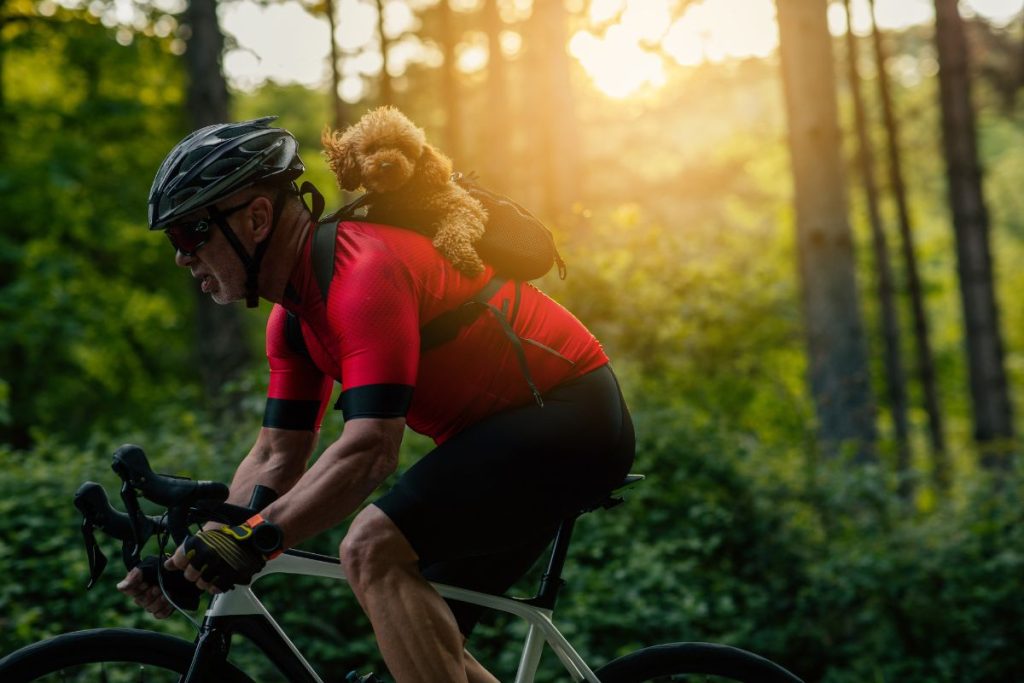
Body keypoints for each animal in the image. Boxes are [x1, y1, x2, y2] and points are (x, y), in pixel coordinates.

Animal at [323, 104, 491, 274]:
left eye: (403, 148)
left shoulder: (466, 206)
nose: (388, 165)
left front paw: (466, 259)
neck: (401, 194)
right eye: (371, 148)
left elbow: (453, 230)